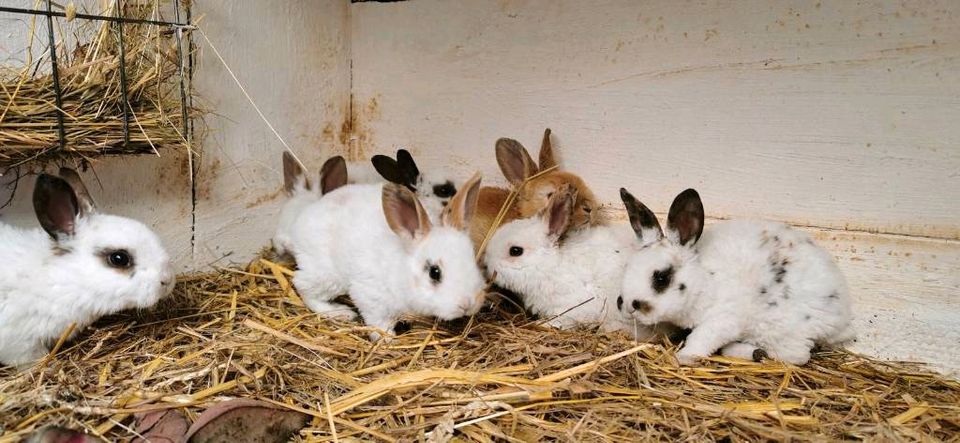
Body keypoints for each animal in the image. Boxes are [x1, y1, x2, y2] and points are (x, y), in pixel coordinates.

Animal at [290, 173, 488, 340]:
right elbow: (378, 323)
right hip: (327, 276)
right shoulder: (371, 297)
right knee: (302, 287)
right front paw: (387, 340)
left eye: (474, 262)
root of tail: (303, 217)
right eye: (434, 272)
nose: (467, 304)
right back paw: (341, 312)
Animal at [620, 189, 852, 366]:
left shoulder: (723, 318)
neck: (705, 279)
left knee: (797, 356)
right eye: (628, 267)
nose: (627, 305)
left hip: (780, 330)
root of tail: (842, 317)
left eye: (661, 278)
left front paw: (684, 357)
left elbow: (702, 338)